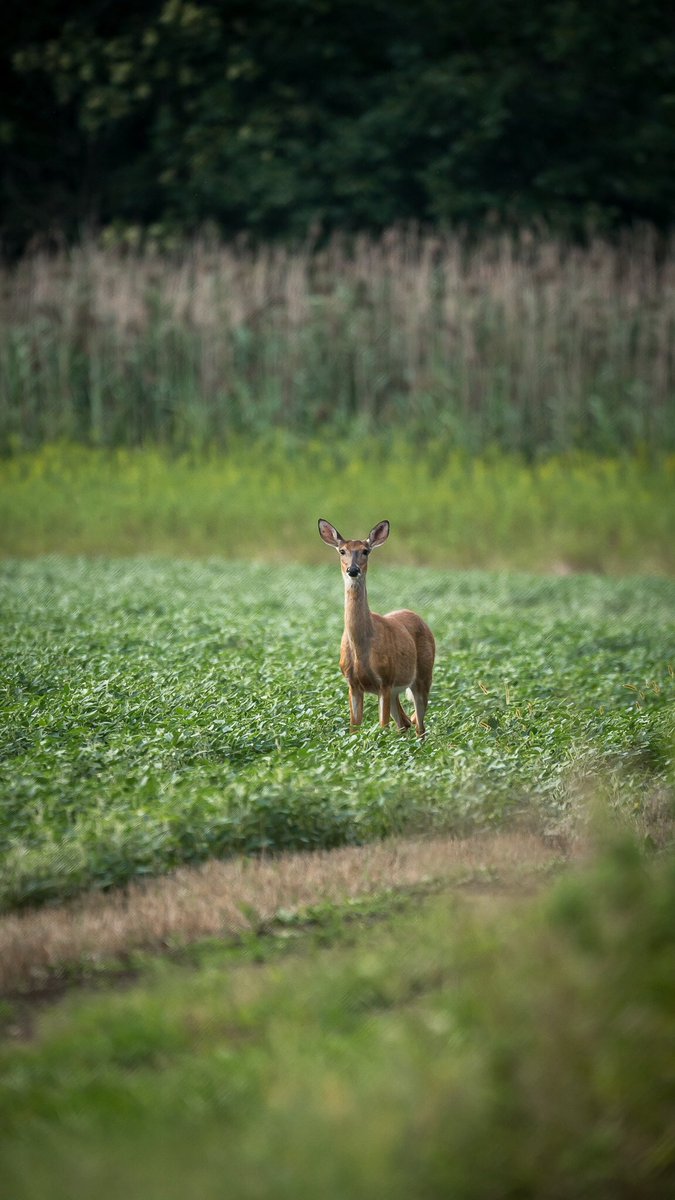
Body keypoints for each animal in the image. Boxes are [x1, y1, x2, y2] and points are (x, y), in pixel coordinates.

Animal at [318, 518, 435, 736]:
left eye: (365, 551)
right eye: (342, 551)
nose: (353, 570)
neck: (361, 647)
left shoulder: (385, 681)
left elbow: (382, 727)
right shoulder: (353, 684)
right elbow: (353, 729)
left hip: (423, 676)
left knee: (420, 726)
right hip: (398, 690)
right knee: (404, 722)